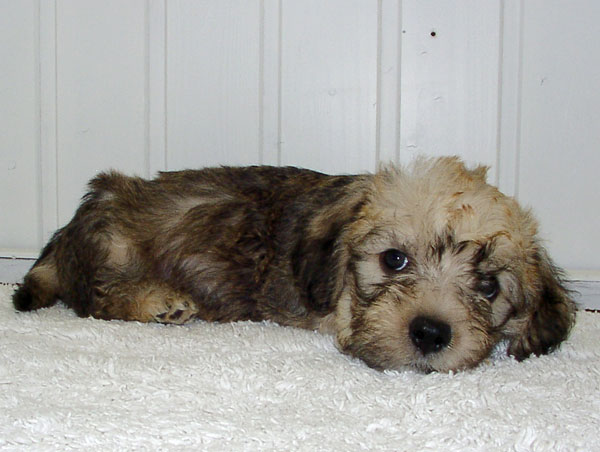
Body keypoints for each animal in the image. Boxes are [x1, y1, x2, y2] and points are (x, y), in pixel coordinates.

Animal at [12, 156, 576, 372]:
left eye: (488, 287)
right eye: (394, 260)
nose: (431, 333)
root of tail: (69, 228)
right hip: (113, 248)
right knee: (94, 298)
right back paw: (158, 302)